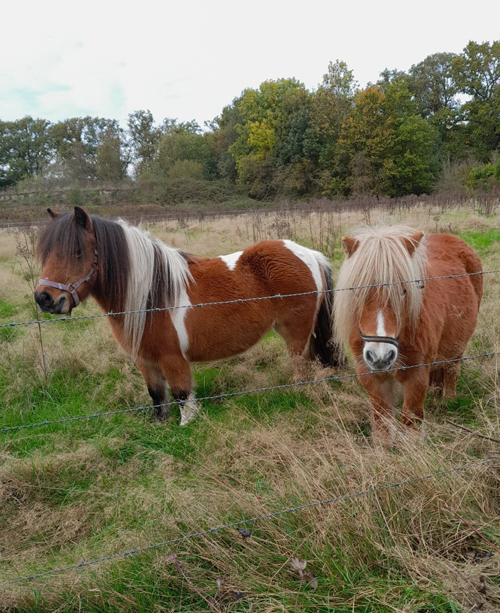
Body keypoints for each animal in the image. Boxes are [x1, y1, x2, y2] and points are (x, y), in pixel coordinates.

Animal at [34, 207, 340, 426]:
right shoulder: (145, 362)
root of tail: (309, 254)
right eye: (45, 253)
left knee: (303, 368)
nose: (44, 298)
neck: (150, 297)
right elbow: (157, 396)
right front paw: (160, 426)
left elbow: (182, 397)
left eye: (77, 252)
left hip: (295, 335)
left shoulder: (173, 360)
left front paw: (185, 426)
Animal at [334, 225, 482, 444]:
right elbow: (382, 421)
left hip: (457, 347)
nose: (380, 355)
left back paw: (448, 400)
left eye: (403, 291)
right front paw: (383, 449)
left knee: (451, 369)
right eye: (358, 292)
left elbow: (411, 419)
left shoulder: (416, 375)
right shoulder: (373, 378)